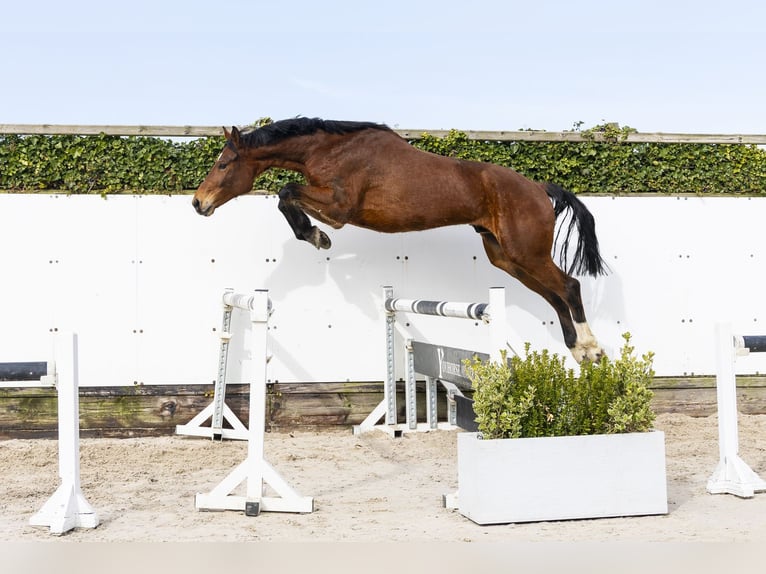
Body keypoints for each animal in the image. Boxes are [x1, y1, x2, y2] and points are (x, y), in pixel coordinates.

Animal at [193, 118, 607, 363]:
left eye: (224, 164)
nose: (198, 203)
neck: (328, 149)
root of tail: (538, 187)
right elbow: (286, 194)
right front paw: (314, 236)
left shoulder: (339, 208)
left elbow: (286, 191)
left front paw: (316, 236)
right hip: (506, 258)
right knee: (554, 295)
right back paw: (579, 351)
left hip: (526, 252)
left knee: (568, 286)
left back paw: (591, 347)